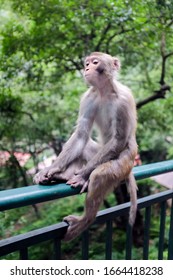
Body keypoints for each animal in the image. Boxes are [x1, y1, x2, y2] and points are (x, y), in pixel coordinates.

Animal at [33, 52, 138, 241]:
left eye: (95, 62)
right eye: (87, 63)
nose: (87, 68)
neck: (104, 91)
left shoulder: (124, 99)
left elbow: (119, 139)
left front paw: (82, 175)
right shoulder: (88, 98)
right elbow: (81, 134)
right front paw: (51, 168)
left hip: (125, 162)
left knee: (100, 175)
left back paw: (85, 219)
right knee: (84, 146)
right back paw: (63, 175)